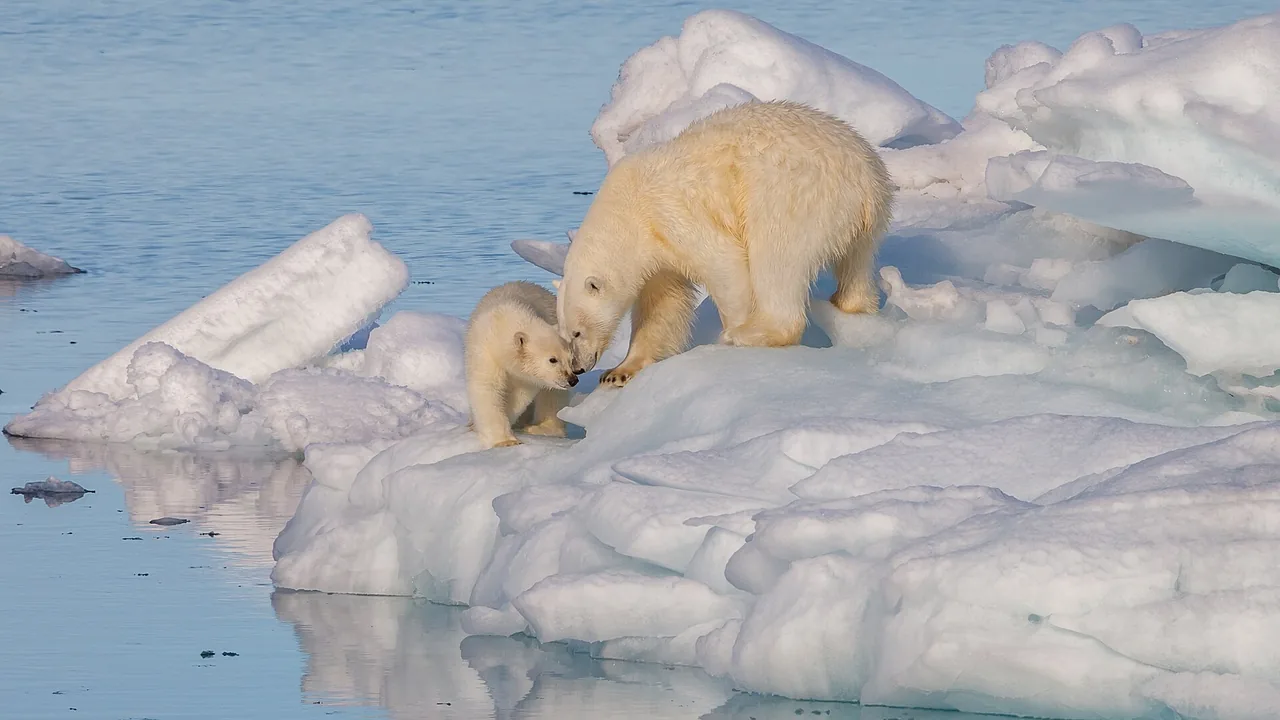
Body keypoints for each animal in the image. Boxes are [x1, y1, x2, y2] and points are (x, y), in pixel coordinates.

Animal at [465, 281, 579, 448]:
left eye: (571, 359)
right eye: (552, 359)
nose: (572, 380)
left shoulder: (527, 377)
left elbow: (519, 395)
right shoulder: (485, 351)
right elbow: (487, 388)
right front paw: (505, 441)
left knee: (552, 397)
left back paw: (541, 428)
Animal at [556, 100, 894, 387]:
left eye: (576, 332)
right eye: (562, 333)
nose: (579, 368)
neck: (628, 210)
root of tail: (867, 179)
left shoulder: (671, 214)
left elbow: (724, 264)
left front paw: (732, 330)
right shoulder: (656, 253)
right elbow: (661, 305)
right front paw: (620, 371)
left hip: (792, 195)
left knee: (777, 258)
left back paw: (750, 334)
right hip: (866, 220)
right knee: (857, 264)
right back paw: (851, 305)